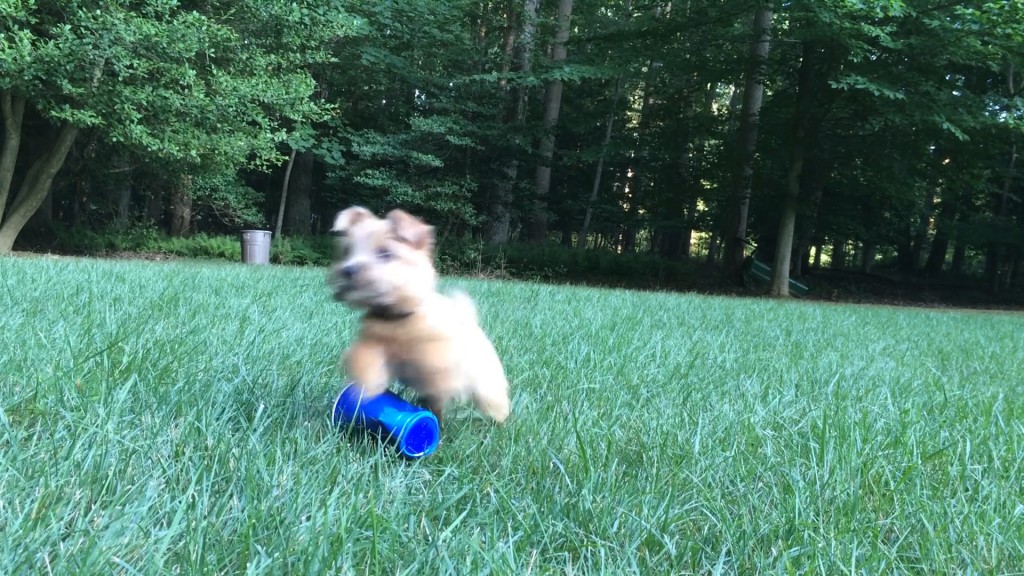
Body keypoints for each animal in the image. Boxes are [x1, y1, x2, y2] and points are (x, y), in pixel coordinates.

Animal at [325, 203, 509, 424]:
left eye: (385, 253)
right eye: (347, 251)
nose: (348, 270)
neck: (396, 319)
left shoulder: (439, 352)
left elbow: (437, 367)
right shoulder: (372, 343)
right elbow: (364, 357)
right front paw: (367, 385)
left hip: (486, 378)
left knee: (491, 396)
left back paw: (498, 417)